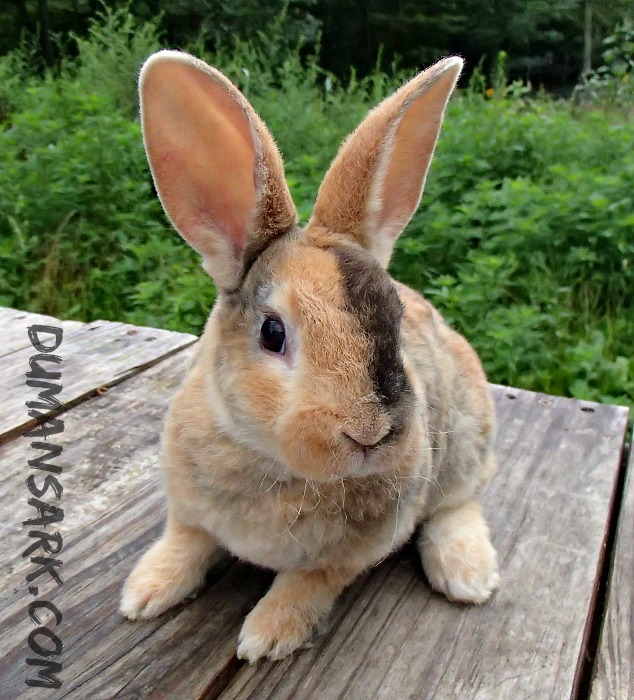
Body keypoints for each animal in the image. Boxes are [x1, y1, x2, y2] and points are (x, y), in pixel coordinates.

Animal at [119, 47, 498, 660]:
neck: (276, 465)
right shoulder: (187, 509)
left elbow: (307, 583)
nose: (369, 434)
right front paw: (145, 593)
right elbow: (185, 541)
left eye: (395, 318)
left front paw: (266, 637)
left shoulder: (349, 556)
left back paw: (467, 575)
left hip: (465, 442)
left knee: (460, 502)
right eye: (273, 333)